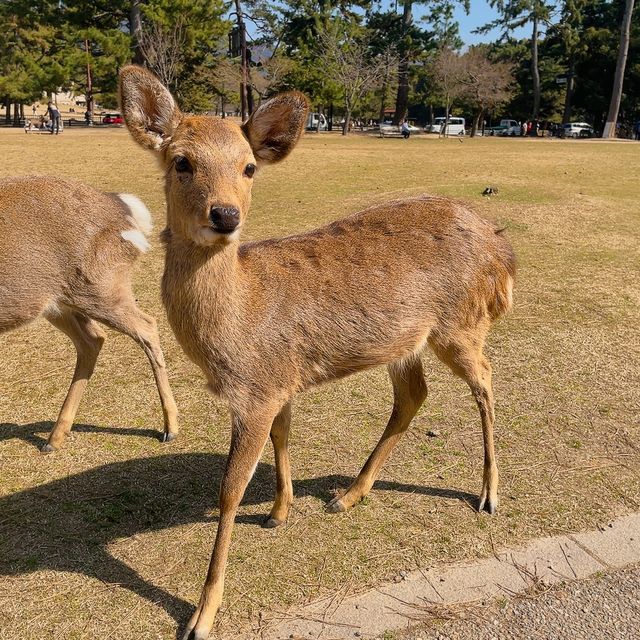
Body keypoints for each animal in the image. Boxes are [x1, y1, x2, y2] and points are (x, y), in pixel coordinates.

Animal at [0, 175, 179, 452]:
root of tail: (123, 207)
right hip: (61, 303)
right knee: (93, 339)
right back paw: (54, 438)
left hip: (101, 286)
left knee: (147, 325)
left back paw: (170, 428)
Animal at [120, 62, 516, 636]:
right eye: (181, 161)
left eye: (249, 167)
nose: (225, 215)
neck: (239, 319)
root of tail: (502, 248)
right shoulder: (278, 379)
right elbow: (284, 436)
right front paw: (279, 512)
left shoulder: (256, 390)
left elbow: (229, 490)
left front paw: (201, 615)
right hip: (406, 341)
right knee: (414, 396)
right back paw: (347, 494)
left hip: (461, 325)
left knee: (485, 377)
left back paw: (488, 494)